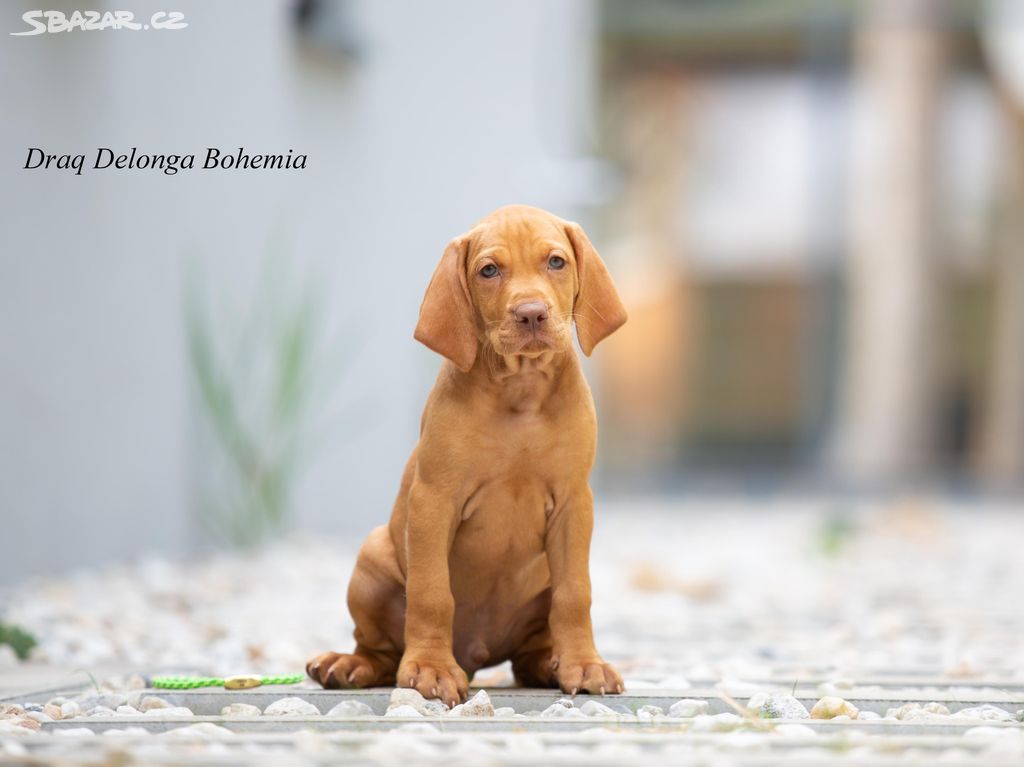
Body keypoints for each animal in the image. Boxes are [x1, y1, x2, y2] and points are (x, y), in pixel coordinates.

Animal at [305, 204, 622, 704]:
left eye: (556, 262)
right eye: (489, 270)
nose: (531, 313)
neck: (521, 391)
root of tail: (475, 653)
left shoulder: (575, 504)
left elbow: (576, 593)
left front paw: (583, 664)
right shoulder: (433, 500)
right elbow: (433, 592)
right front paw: (430, 669)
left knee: (529, 652)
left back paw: (549, 664)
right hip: (373, 557)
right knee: (381, 650)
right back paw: (349, 664)